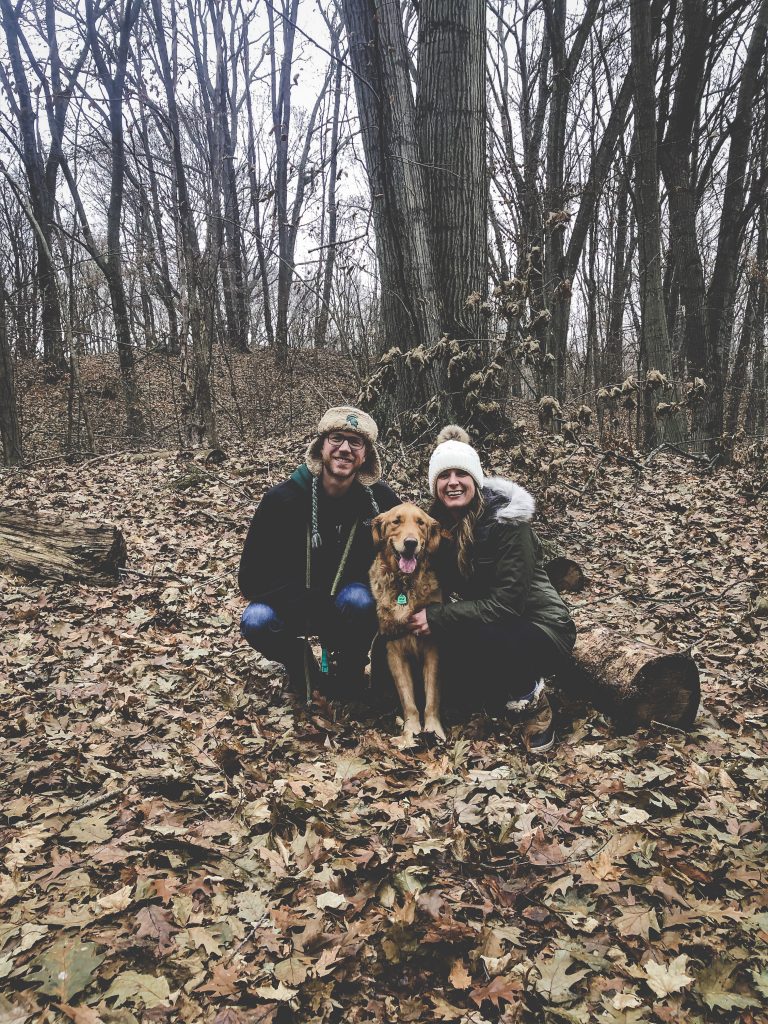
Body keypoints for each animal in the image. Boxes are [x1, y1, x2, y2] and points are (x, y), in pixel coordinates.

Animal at [370, 505, 448, 741]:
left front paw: (434, 730)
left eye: (420, 523)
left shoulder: (433, 647)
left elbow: (432, 697)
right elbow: (408, 699)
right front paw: (411, 731)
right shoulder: (394, 651)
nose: (411, 543)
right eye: (396, 521)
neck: (404, 585)